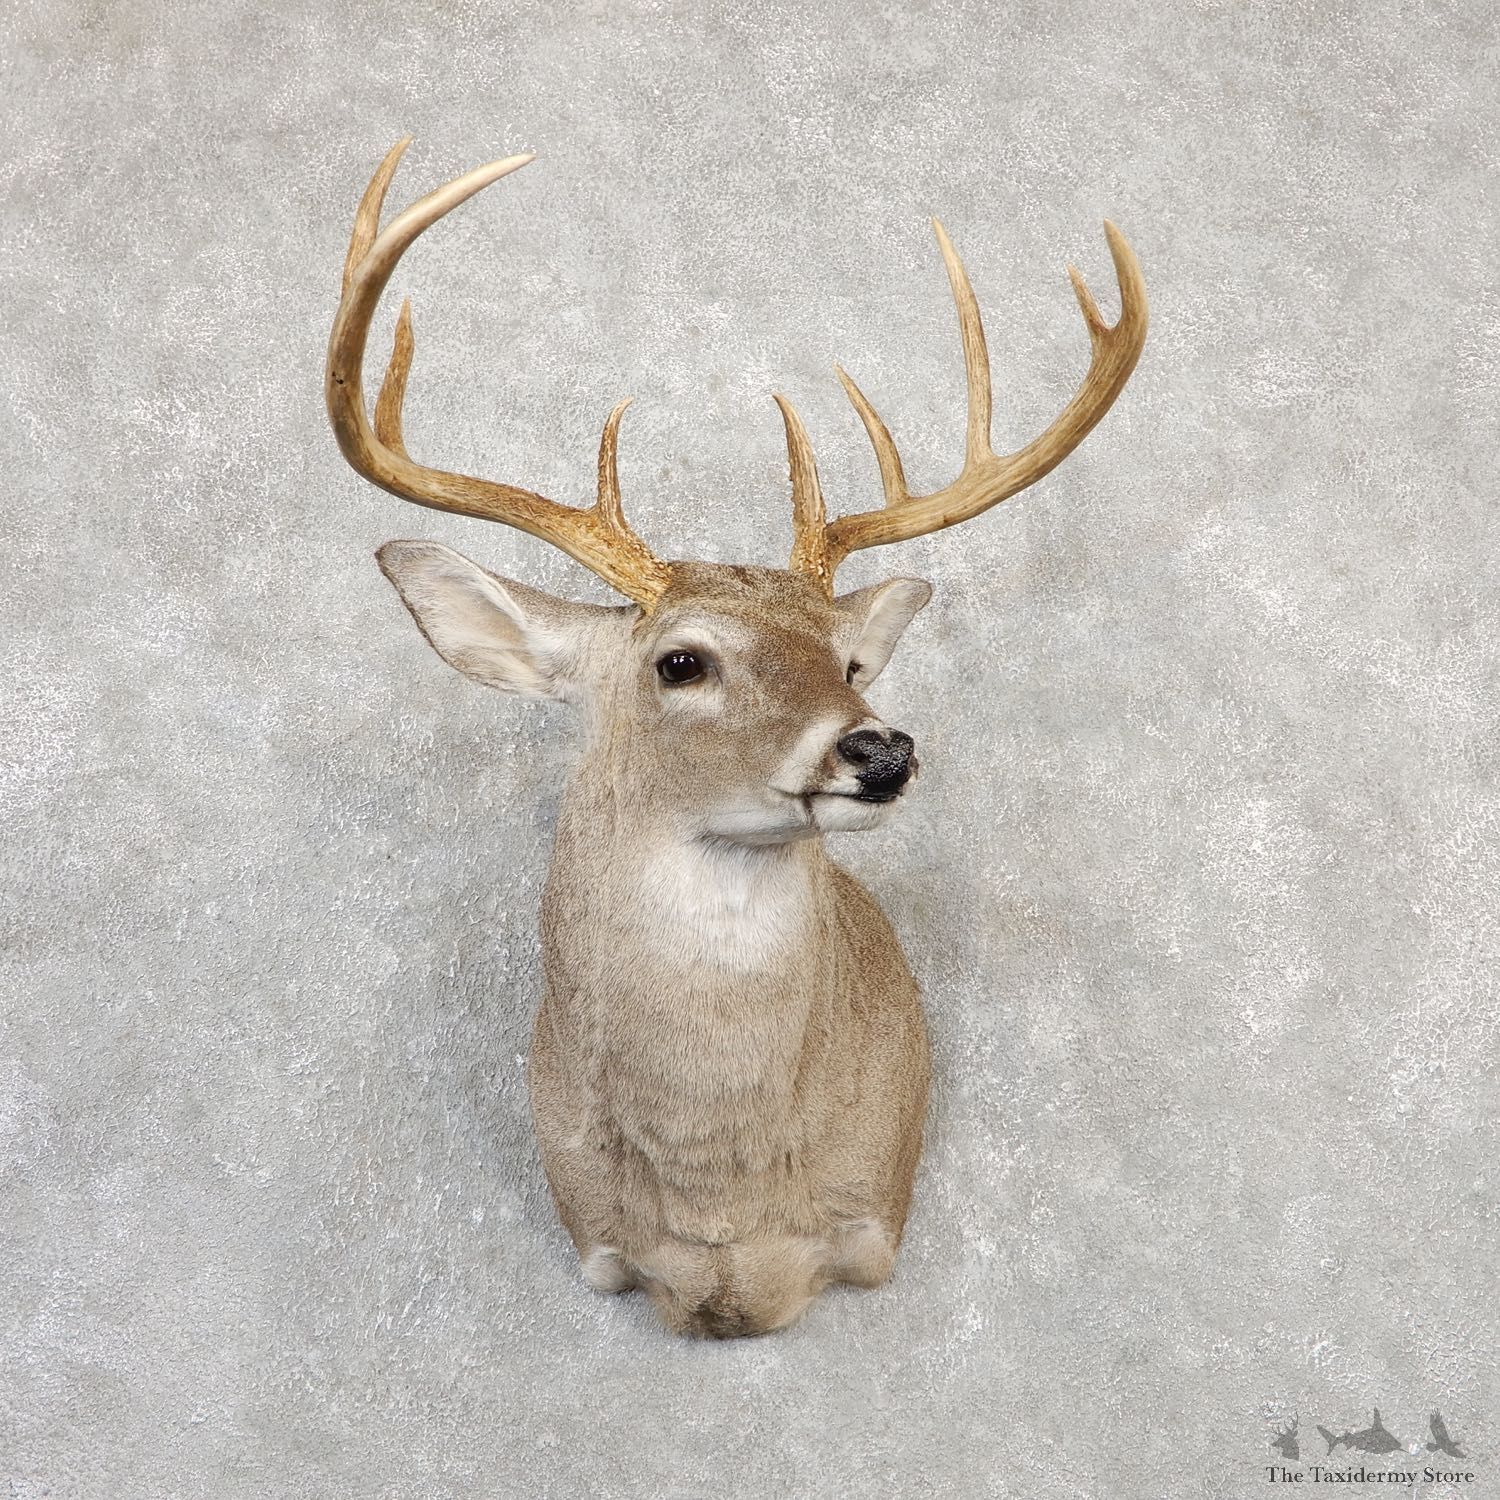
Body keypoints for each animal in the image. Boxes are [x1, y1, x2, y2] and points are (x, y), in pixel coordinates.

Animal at [325, 139, 1147, 1338]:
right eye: (681, 662)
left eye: (849, 663)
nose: (880, 752)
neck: (722, 1210)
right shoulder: (601, 1250)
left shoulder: (869, 1228)